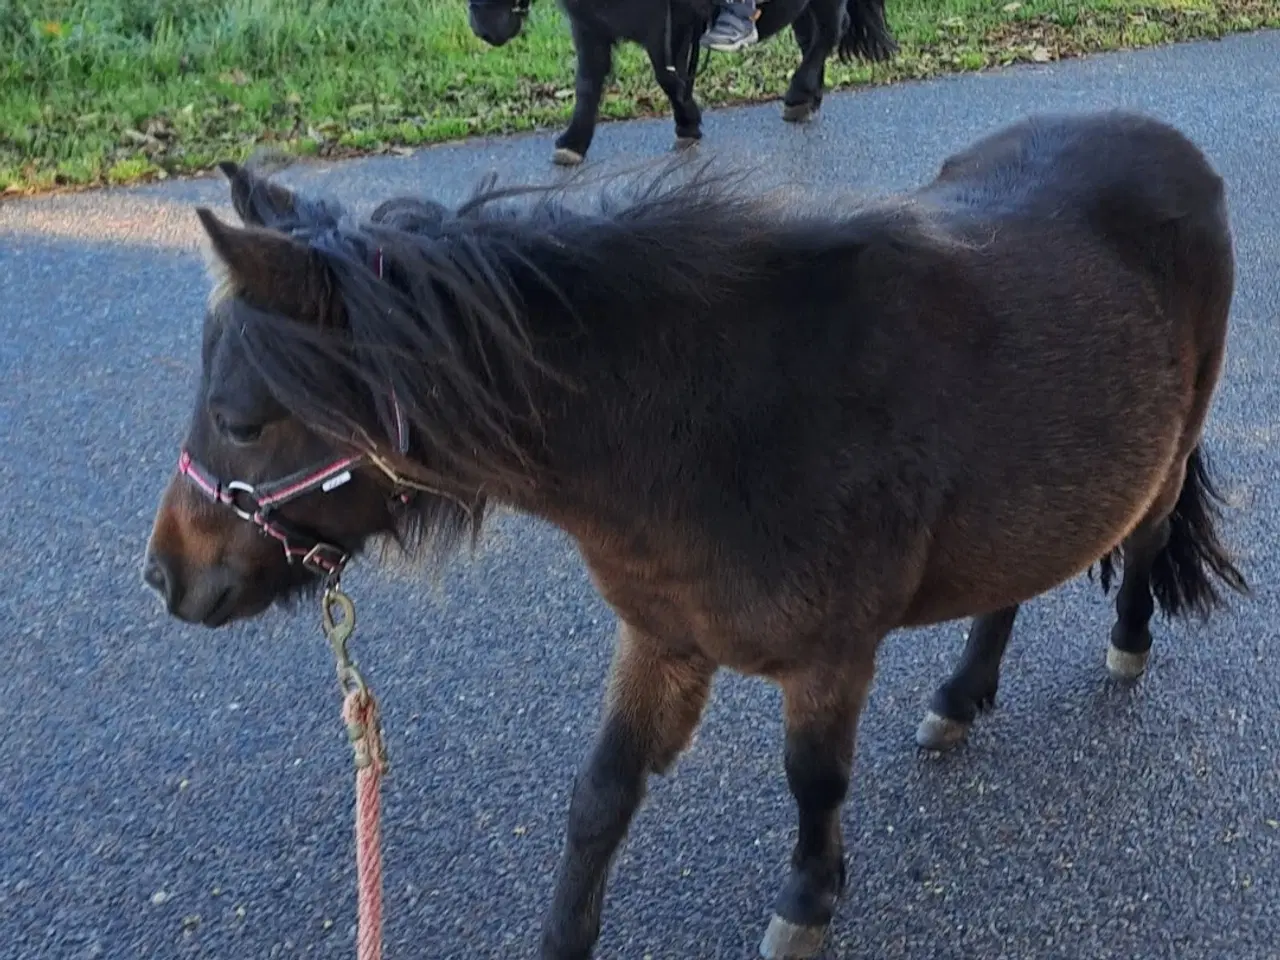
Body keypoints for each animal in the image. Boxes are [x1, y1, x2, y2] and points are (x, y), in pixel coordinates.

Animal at [142, 109, 1247, 959]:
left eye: (242, 420)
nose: (165, 577)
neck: (710, 433)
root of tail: (1171, 146)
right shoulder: (662, 635)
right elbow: (599, 796)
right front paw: (565, 933)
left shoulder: (830, 659)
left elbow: (813, 781)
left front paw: (808, 902)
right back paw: (962, 694)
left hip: (1161, 455)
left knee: (1143, 542)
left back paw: (1124, 644)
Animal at [467, 0, 897, 165]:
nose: (484, 28)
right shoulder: (590, 29)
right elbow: (587, 86)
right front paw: (572, 144)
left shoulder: (668, 28)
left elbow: (668, 77)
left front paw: (688, 123)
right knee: (811, 38)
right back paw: (808, 98)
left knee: (828, 32)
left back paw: (797, 95)